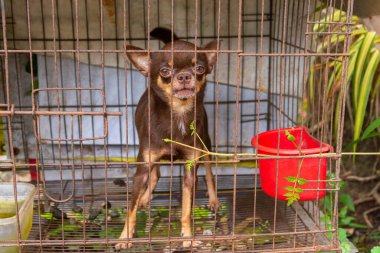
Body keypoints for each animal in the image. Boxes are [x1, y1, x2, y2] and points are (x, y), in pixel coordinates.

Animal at [117, 27, 221, 249]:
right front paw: (125, 237)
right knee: (155, 174)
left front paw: (187, 236)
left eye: (199, 68)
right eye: (165, 71)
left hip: (206, 145)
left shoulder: (190, 168)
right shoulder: (143, 167)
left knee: (209, 172)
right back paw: (144, 198)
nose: (184, 76)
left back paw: (214, 200)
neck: (178, 115)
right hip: (147, 154)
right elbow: (130, 209)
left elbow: (187, 209)